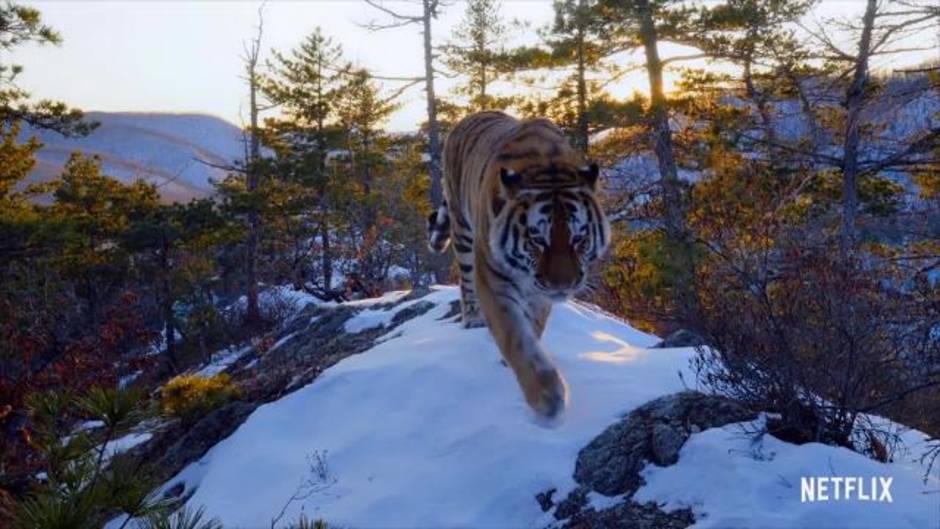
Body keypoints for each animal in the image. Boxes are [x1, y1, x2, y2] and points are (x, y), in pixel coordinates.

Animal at [430, 112, 612, 420]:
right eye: (537, 239)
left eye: (579, 238)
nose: (563, 284)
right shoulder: (494, 278)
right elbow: (515, 336)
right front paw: (546, 397)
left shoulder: (540, 294)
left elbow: (533, 326)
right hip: (462, 232)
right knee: (465, 284)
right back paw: (473, 318)